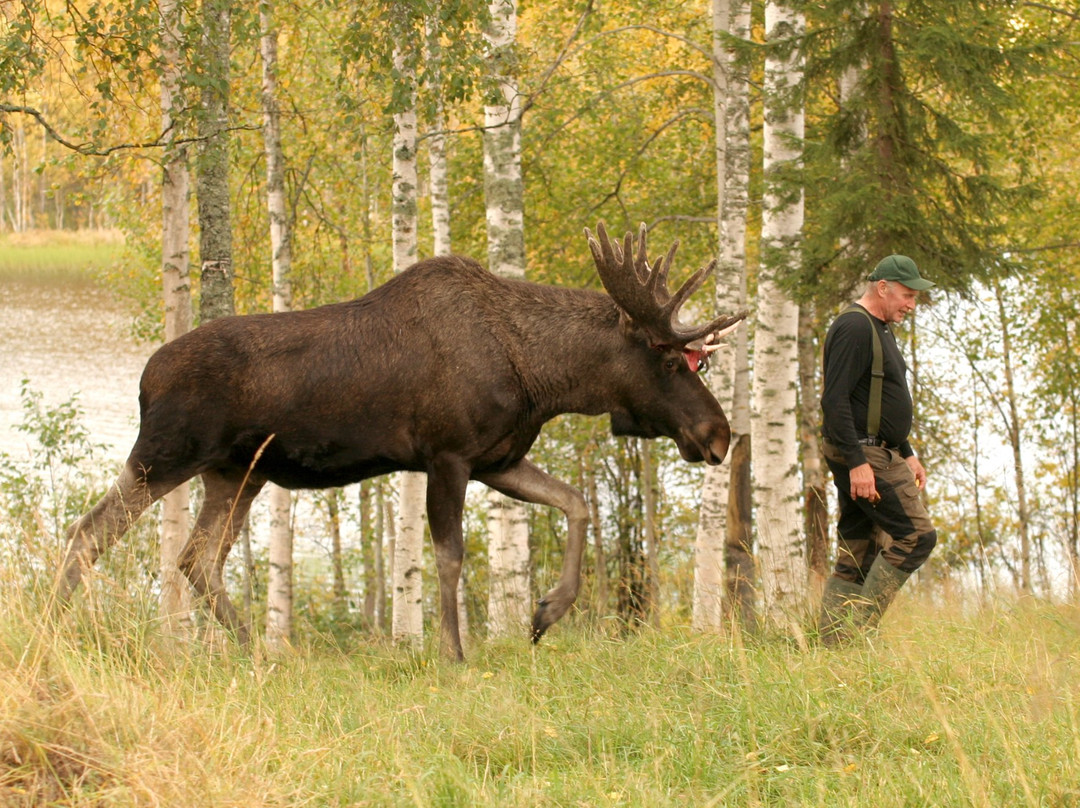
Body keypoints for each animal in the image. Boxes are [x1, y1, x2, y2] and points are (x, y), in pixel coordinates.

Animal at [54, 223, 747, 661]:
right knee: (89, 531)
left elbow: (575, 503)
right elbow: (449, 557)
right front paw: (453, 653)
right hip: (166, 452)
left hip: (235, 473)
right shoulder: (448, 454)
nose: (721, 435)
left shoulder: (499, 458)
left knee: (196, 558)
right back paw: (51, 631)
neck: (541, 377)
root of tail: (144, 377)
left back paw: (258, 651)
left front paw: (546, 612)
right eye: (670, 361)